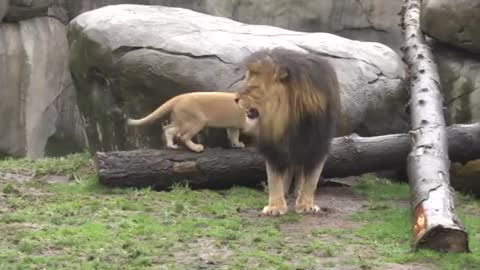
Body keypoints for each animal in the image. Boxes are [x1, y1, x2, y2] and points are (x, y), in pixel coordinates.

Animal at [234, 48, 340, 215]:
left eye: (253, 88)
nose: (235, 99)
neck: (288, 118)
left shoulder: (318, 145)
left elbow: (311, 179)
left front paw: (306, 205)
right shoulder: (274, 146)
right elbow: (274, 178)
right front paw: (275, 207)